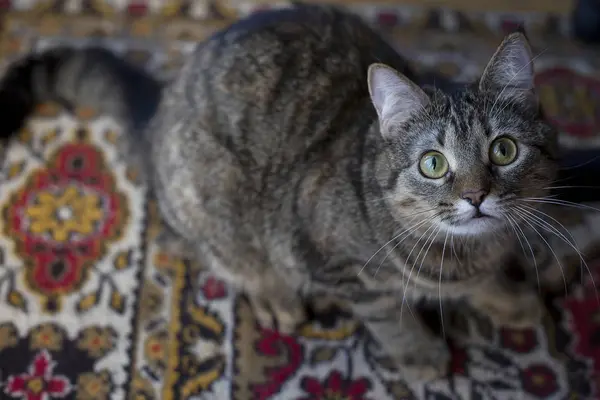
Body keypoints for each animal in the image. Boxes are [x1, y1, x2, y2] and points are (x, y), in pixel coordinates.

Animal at [0, 3, 584, 382]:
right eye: (434, 164)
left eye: (503, 151)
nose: (476, 196)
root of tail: (160, 105)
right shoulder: (339, 263)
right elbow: (388, 316)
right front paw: (420, 354)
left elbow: (484, 280)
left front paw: (507, 297)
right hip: (216, 202)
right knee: (222, 256)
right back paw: (275, 295)